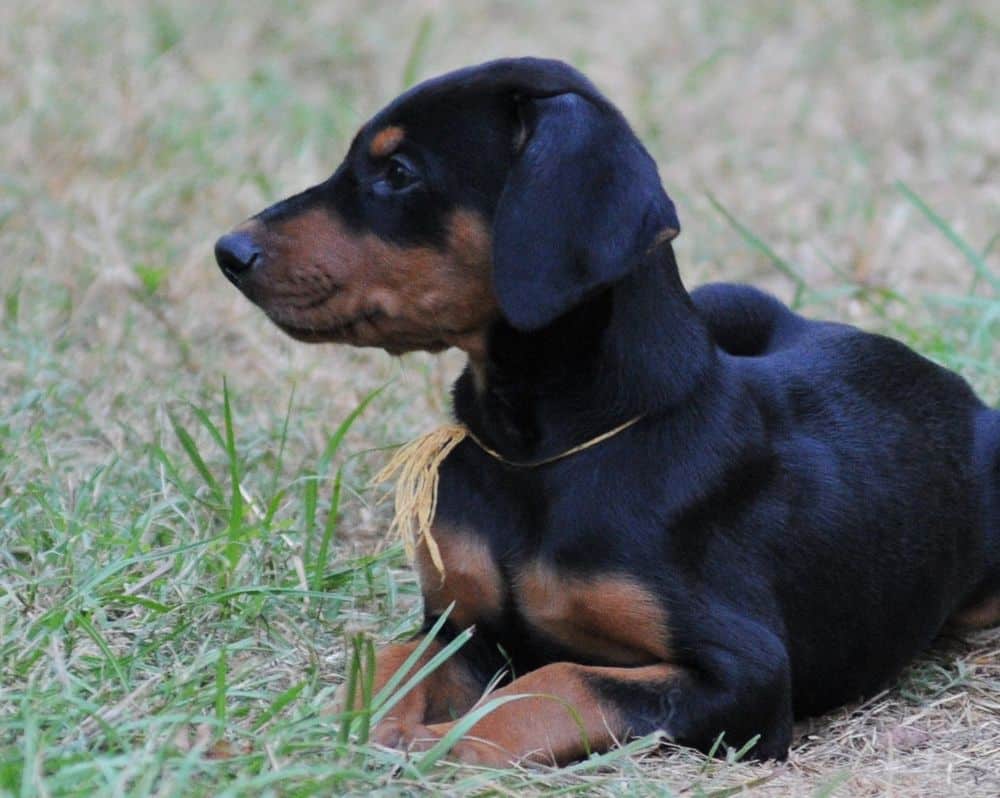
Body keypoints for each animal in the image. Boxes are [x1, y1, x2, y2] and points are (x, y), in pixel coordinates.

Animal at [213, 57, 1000, 768]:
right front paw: (326, 736)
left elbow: (557, 684)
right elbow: (390, 661)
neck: (535, 452)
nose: (228, 251)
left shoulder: (746, 675)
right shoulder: (460, 624)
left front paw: (435, 745)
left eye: (399, 172)